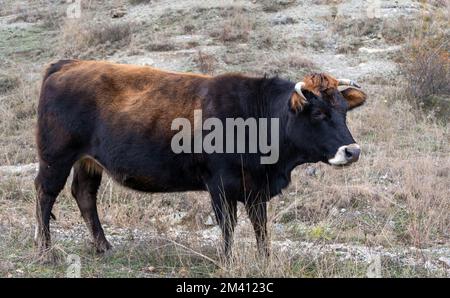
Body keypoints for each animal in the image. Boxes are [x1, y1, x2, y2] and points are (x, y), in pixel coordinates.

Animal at [34, 59, 366, 258]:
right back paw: (45, 249)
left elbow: (260, 227)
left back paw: (103, 246)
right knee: (45, 193)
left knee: (84, 195)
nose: (353, 151)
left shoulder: (256, 188)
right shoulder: (220, 185)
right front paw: (228, 260)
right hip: (56, 157)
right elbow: (229, 226)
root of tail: (68, 64)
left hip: (87, 162)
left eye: (343, 111)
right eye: (318, 113)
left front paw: (264, 258)